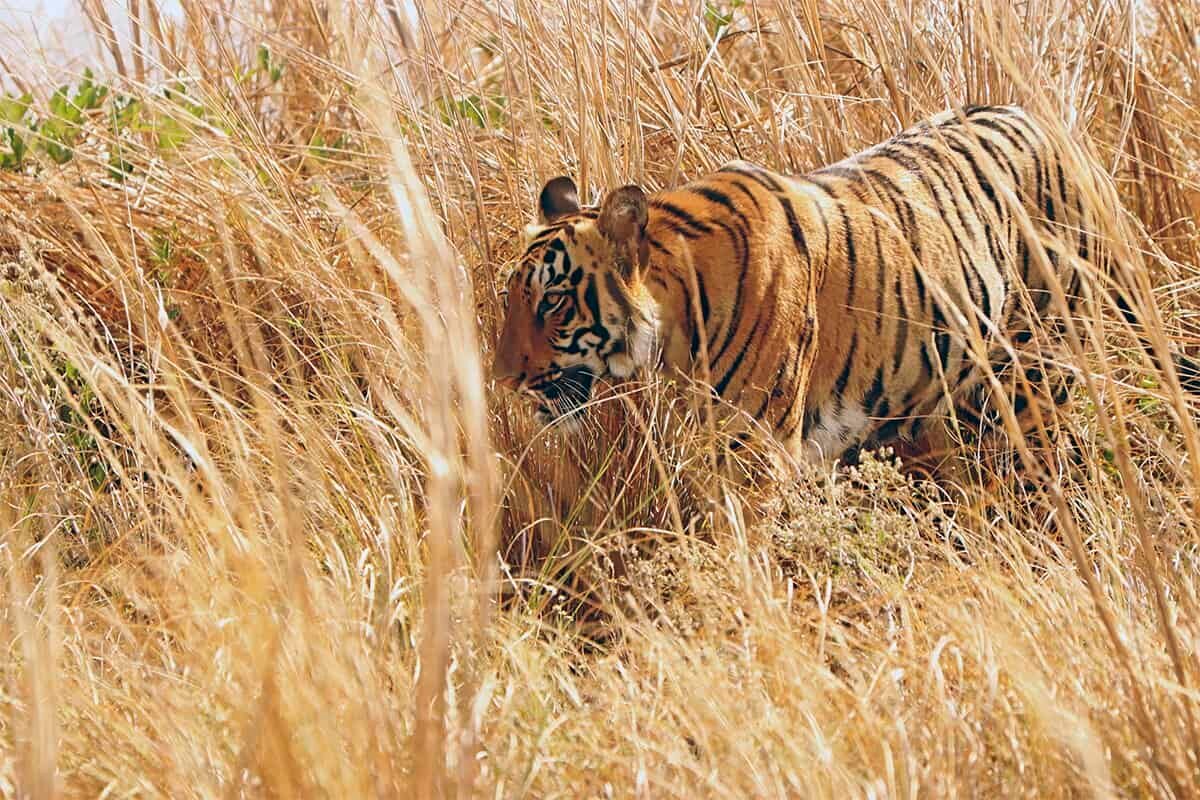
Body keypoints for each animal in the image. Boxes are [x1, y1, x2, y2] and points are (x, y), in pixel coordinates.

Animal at [492, 104, 1199, 466]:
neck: (675, 322)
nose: (503, 381)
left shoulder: (751, 446)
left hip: (1032, 375)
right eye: (511, 301)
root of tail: (1052, 125)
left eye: (553, 302)